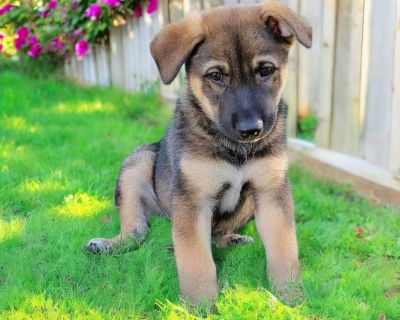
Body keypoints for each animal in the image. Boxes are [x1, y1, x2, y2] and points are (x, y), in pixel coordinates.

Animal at [86, 0, 312, 304]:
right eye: (216, 76)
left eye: (265, 70)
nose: (251, 130)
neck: (234, 149)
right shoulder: (192, 198)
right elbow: (196, 257)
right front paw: (199, 304)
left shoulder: (271, 192)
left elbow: (284, 248)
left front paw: (290, 297)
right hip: (138, 162)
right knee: (137, 229)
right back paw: (110, 244)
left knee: (215, 235)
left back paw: (231, 238)